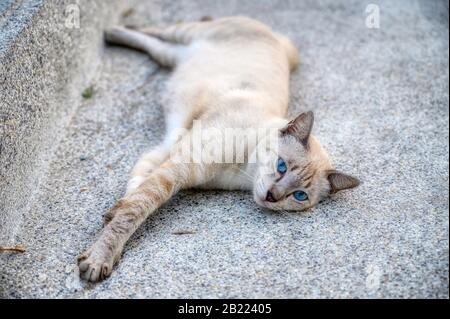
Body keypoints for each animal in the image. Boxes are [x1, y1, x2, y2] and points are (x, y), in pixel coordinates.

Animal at [76, 15, 358, 282]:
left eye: (299, 195)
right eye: (281, 166)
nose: (272, 196)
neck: (242, 173)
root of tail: (273, 32)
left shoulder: (168, 153)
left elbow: (135, 189)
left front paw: (112, 214)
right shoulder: (177, 169)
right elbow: (133, 211)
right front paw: (99, 259)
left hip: (171, 57)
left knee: (156, 46)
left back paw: (113, 34)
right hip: (186, 33)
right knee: (158, 29)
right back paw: (111, 30)